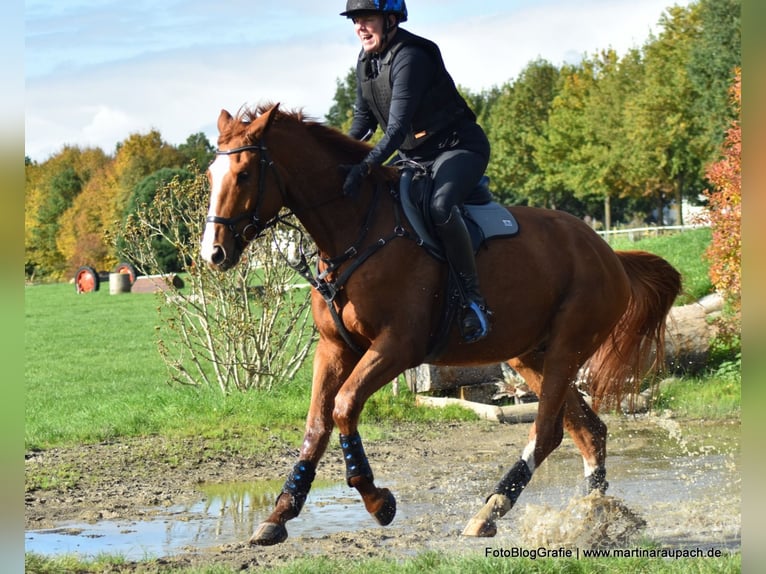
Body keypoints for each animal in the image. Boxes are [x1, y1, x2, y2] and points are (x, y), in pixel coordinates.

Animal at [200, 103, 682, 546]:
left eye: (245, 174)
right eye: (209, 175)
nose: (213, 254)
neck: (354, 229)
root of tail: (607, 252)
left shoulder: (397, 345)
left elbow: (343, 407)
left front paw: (378, 501)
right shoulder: (334, 347)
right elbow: (317, 425)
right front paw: (279, 513)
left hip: (568, 346)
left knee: (547, 431)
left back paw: (492, 510)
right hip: (531, 354)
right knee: (588, 430)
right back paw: (593, 516)